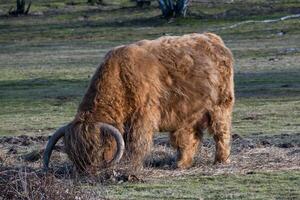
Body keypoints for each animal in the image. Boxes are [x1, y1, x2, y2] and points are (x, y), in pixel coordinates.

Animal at [42, 32, 234, 172]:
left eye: (95, 149)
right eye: (72, 154)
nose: (85, 173)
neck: (119, 78)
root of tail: (213, 38)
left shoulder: (142, 117)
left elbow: (136, 143)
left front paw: (130, 165)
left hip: (220, 105)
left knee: (221, 132)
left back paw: (220, 160)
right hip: (188, 112)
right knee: (188, 137)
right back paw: (180, 164)